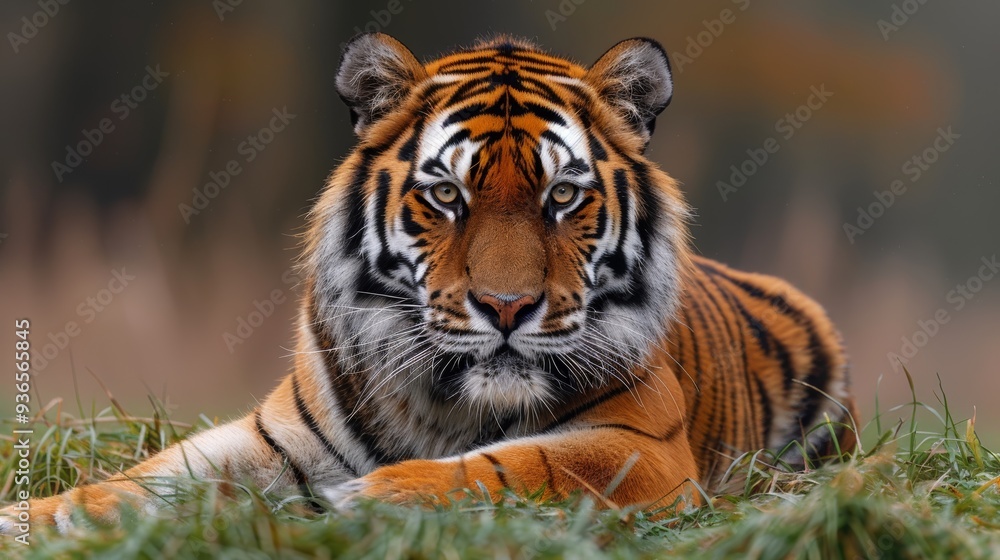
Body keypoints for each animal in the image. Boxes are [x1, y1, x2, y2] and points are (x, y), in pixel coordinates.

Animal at [1, 33, 856, 534]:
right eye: (447, 195)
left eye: (563, 196)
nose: (508, 308)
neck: (446, 398)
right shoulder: (272, 437)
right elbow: (147, 478)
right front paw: (28, 515)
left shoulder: (640, 447)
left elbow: (511, 466)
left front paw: (361, 504)